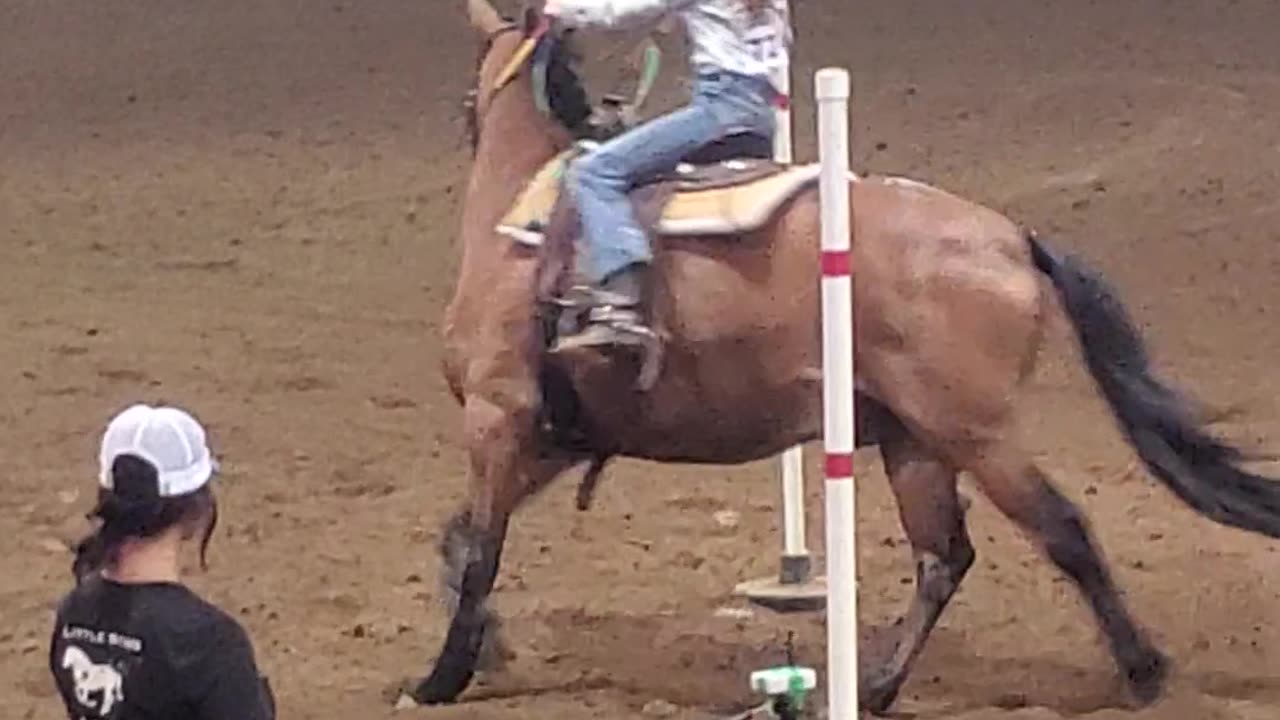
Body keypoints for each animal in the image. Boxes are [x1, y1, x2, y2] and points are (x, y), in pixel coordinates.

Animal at [417, 0, 1280, 707]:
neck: (524, 222)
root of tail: (1010, 237)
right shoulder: (552, 436)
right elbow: (460, 538)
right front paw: (489, 649)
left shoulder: (498, 417)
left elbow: (481, 548)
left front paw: (443, 675)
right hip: (914, 441)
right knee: (944, 557)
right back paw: (876, 686)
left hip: (977, 433)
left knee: (1061, 531)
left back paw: (1143, 672)